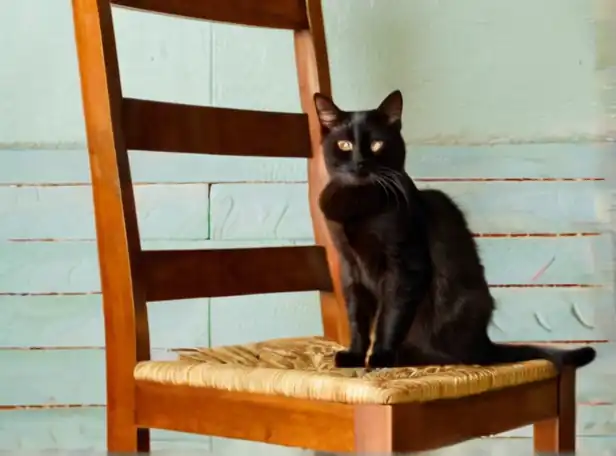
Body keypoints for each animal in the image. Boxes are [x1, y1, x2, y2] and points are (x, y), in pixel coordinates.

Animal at [316, 91, 596, 372]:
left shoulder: (404, 265)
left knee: (454, 355)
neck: (358, 204)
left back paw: (408, 355)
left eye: (376, 145)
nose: (360, 163)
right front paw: (354, 355)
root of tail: (485, 343)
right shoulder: (349, 266)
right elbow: (356, 316)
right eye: (344, 145)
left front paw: (381, 357)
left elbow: (390, 316)